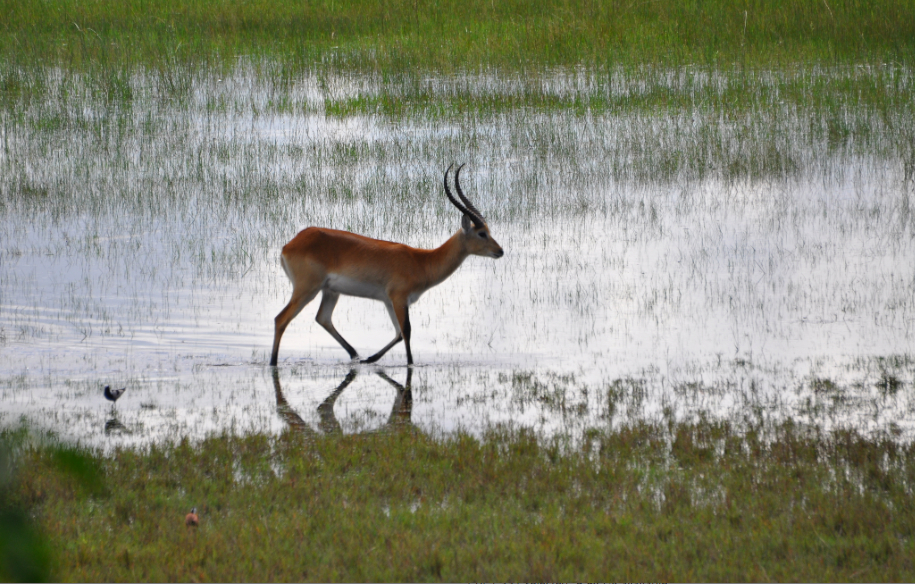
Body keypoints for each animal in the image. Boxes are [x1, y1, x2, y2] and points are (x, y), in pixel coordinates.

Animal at [268, 164, 504, 364]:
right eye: (481, 233)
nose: (500, 251)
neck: (421, 261)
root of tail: (291, 244)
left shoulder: (388, 301)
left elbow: (398, 334)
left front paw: (372, 358)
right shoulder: (399, 298)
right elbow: (407, 332)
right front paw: (410, 363)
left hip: (330, 291)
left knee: (323, 318)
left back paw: (356, 355)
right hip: (307, 289)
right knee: (281, 319)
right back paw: (273, 362)